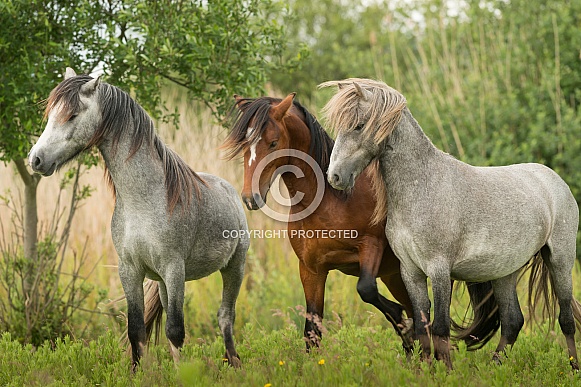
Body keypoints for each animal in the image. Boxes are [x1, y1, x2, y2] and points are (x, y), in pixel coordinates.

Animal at [28, 68, 248, 372]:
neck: (144, 200)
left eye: (72, 115)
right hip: (165, 282)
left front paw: (184, 376)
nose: (35, 159)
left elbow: (176, 331)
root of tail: (229, 189)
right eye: (50, 114)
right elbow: (137, 330)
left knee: (225, 316)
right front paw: (141, 374)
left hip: (233, 267)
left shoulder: (174, 268)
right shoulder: (130, 269)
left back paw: (233, 363)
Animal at [223, 94, 416, 352]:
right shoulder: (311, 270)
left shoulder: (371, 247)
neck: (332, 200)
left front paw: (399, 317)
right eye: (245, 144)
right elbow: (312, 331)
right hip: (394, 275)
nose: (249, 198)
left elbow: (366, 290)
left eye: (273, 143)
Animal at [322, 77, 580, 372]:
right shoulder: (411, 271)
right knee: (513, 322)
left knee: (566, 318)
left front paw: (446, 372)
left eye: (359, 125)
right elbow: (422, 326)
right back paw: (494, 368)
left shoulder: (439, 270)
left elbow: (441, 328)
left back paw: (573, 368)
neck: (422, 187)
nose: (335, 177)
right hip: (505, 272)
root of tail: (553, 179)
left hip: (560, 260)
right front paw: (424, 370)